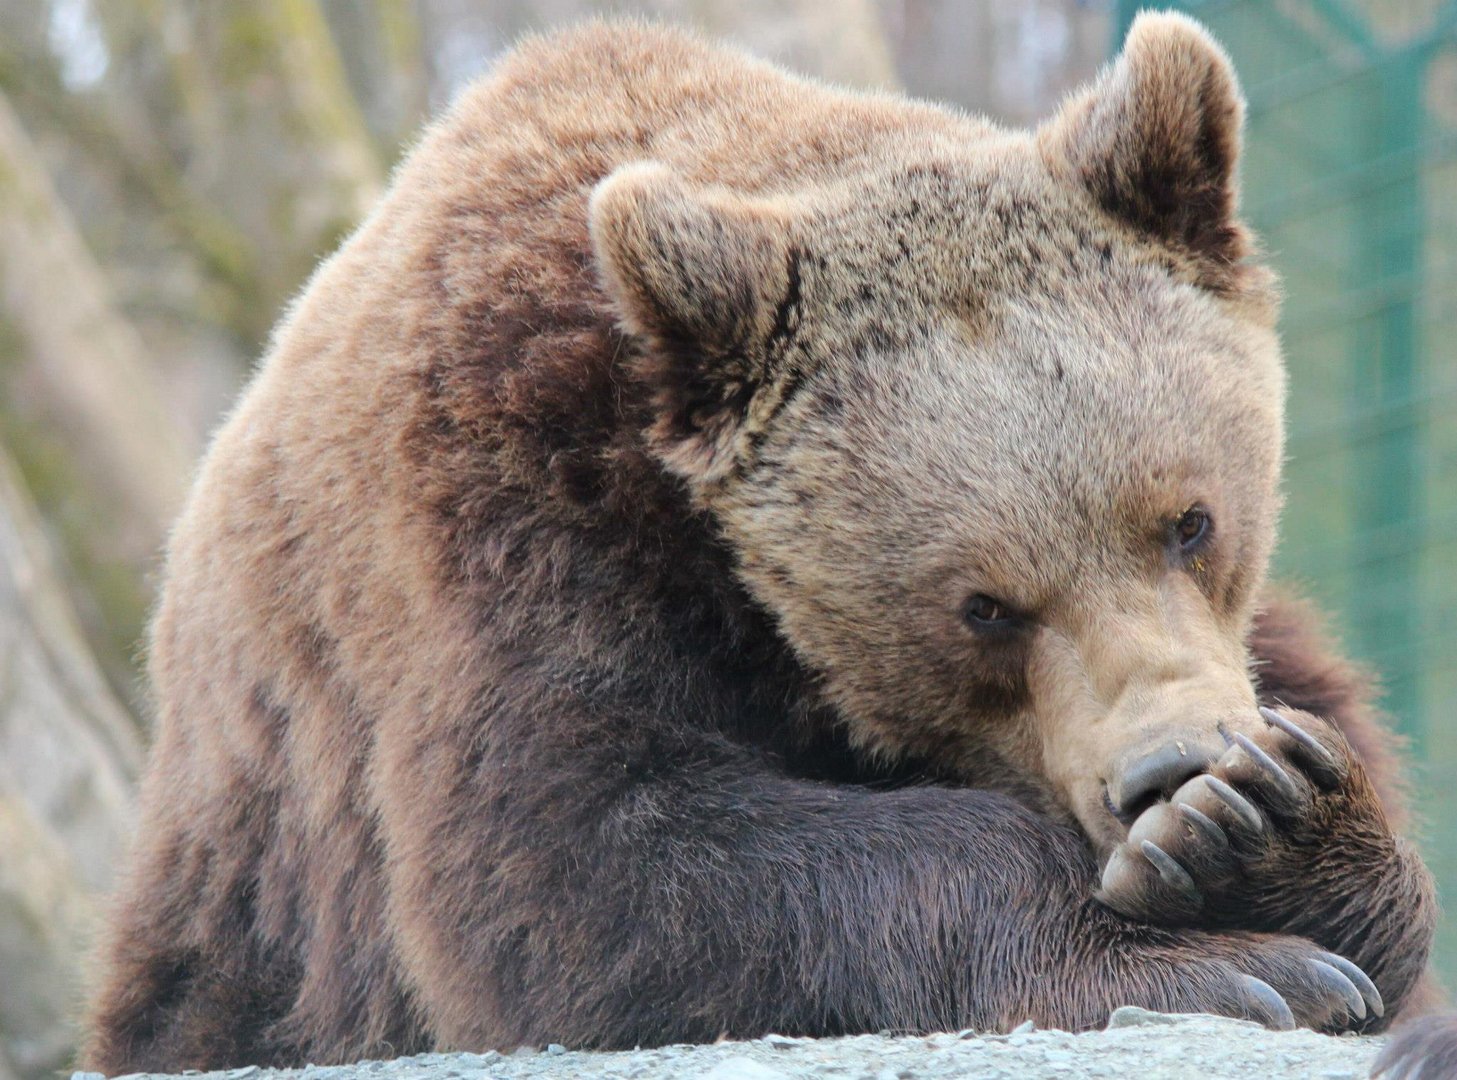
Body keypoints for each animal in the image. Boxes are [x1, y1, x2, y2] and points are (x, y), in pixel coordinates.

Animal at [88, 10, 1433, 1072]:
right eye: (983, 606)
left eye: (1187, 521)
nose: (1168, 767)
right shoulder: (508, 522)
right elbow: (576, 859)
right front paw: (1225, 962)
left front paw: (1261, 827)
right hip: (243, 925)